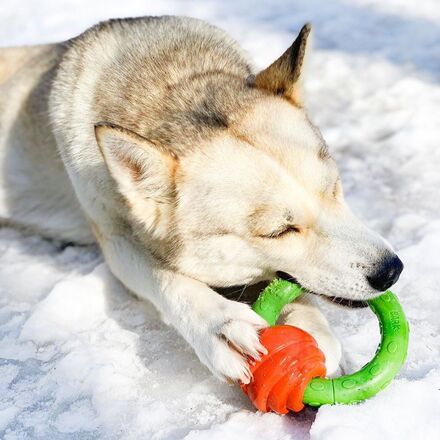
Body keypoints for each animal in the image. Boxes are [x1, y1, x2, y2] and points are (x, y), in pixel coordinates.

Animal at [0, 16, 404, 382]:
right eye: (279, 231)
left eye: (333, 189)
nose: (391, 270)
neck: (170, 87)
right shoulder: (115, 239)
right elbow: (167, 277)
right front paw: (221, 327)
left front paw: (313, 326)